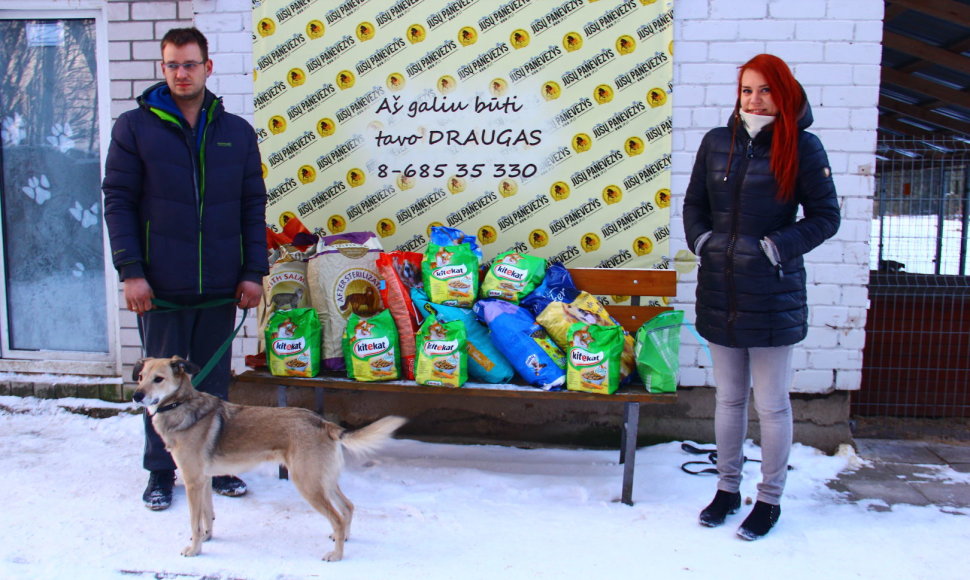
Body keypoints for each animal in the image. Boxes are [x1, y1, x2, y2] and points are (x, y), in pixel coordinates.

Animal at [130, 356, 402, 560]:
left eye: (159, 379)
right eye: (141, 377)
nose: (136, 396)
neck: (180, 404)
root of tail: (323, 423)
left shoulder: (193, 482)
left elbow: (194, 521)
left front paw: (195, 549)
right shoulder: (204, 481)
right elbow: (208, 514)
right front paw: (207, 537)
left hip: (308, 483)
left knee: (336, 516)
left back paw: (336, 555)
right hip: (323, 480)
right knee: (347, 508)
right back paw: (342, 537)